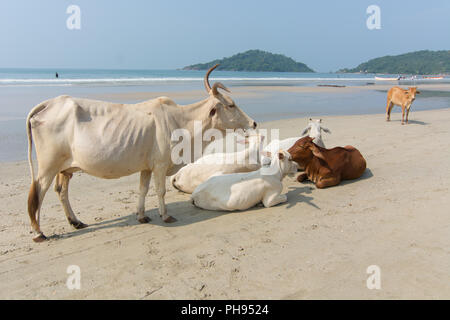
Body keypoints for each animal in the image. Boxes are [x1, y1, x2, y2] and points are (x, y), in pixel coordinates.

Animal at [25, 63, 256, 241]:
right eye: (231, 104)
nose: (253, 123)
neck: (181, 122)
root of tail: (49, 103)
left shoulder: (146, 167)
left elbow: (142, 189)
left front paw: (142, 216)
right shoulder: (160, 165)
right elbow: (160, 191)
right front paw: (165, 216)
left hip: (65, 168)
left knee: (61, 192)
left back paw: (76, 221)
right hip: (47, 167)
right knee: (38, 194)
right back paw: (38, 232)